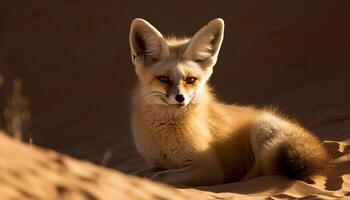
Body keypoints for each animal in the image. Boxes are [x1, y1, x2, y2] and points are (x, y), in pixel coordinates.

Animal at [129, 18, 330, 187]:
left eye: (190, 80)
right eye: (163, 79)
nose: (180, 98)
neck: (163, 136)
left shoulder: (208, 168)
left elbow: (155, 178)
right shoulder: (158, 163)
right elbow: (137, 174)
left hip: (262, 128)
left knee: (266, 169)